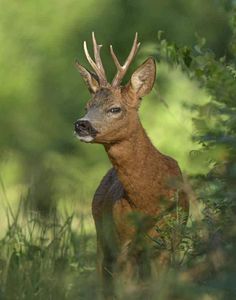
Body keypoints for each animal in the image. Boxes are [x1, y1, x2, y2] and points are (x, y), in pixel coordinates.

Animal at [74, 32, 189, 298]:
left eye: (115, 108)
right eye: (87, 106)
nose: (81, 124)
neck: (147, 200)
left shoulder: (167, 243)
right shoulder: (122, 243)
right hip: (101, 236)